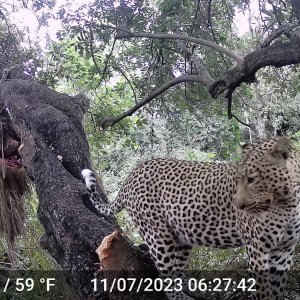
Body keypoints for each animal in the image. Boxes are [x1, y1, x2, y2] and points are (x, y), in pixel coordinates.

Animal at [81, 137, 300, 300]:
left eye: (252, 179)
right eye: (238, 179)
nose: (238, 205)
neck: (287, 203)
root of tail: (131, 175)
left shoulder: (284, 251)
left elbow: (277, 288)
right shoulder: (257, 249)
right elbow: (262, 291)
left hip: (182, 235)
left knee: (178, 270)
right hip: (158, 236)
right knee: (166, 278)